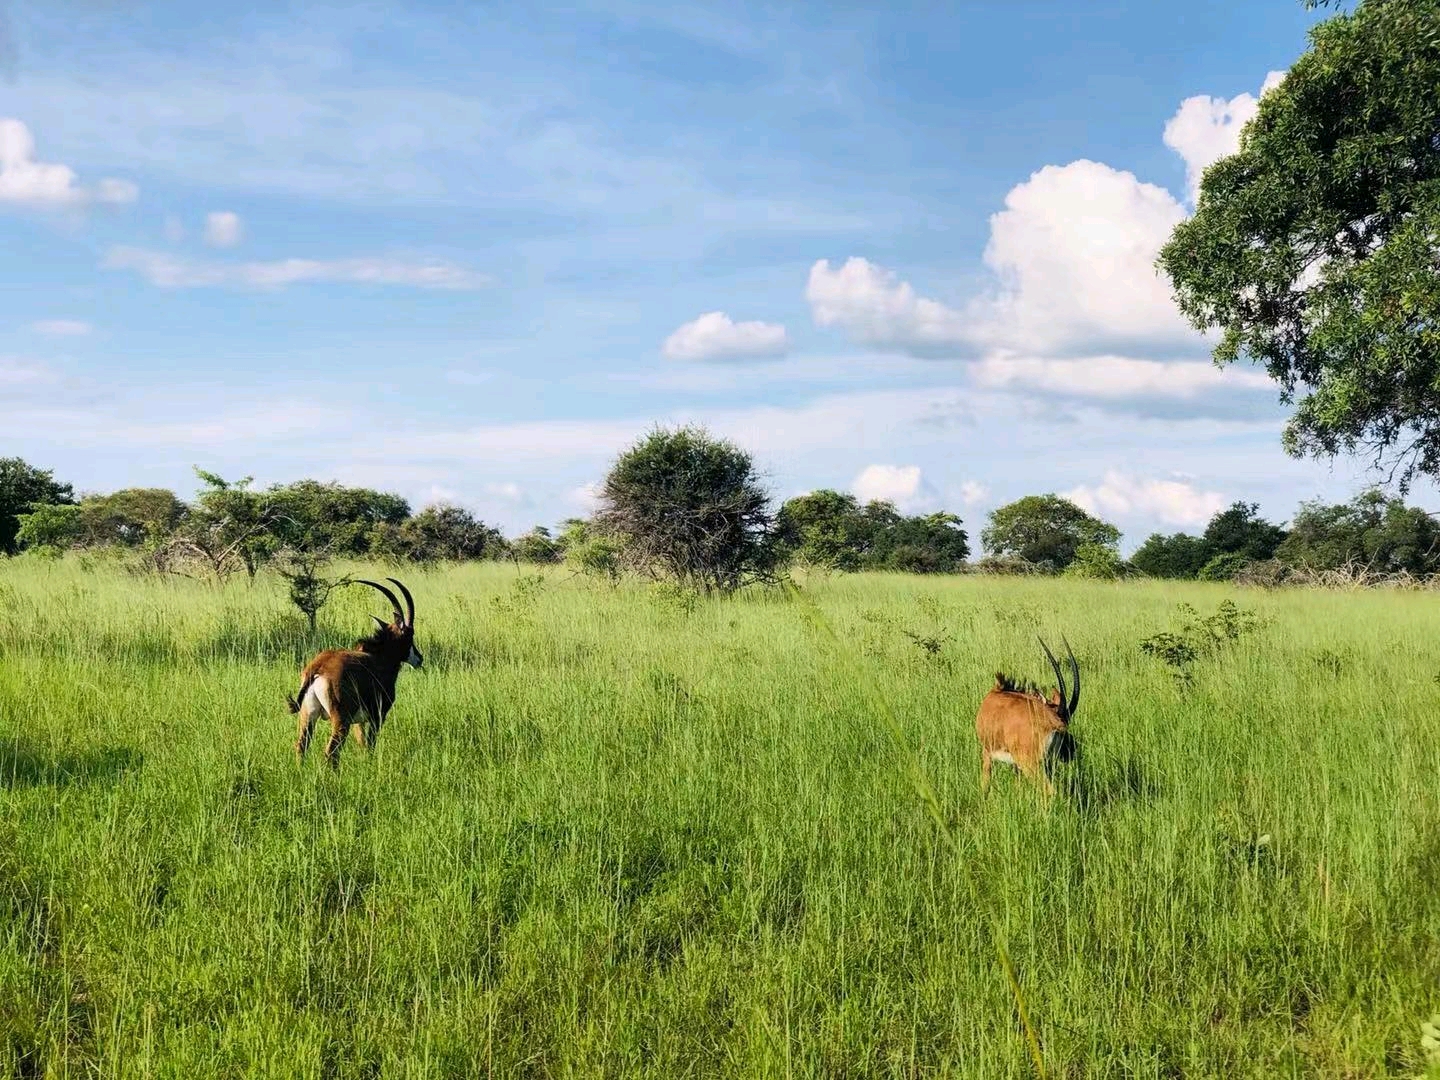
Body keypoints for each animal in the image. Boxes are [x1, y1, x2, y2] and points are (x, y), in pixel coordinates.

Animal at [285, 578, 420, 766]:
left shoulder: (359, 722)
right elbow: (370, 745)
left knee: (301, 746)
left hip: (307, 716)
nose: (419, 659)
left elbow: (362, 744)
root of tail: (319, 667)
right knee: (331, 752)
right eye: (410, 636)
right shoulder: (377, 716)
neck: (378, 657)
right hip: (341, 720)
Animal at [979, 639, 1082, 800]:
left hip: (1031, 765)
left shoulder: (987, 753)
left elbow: (985, 784)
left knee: (1049, 791)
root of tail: (1053, 723)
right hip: (1047, 764)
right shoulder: (1016, 765)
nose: (1073, 749)